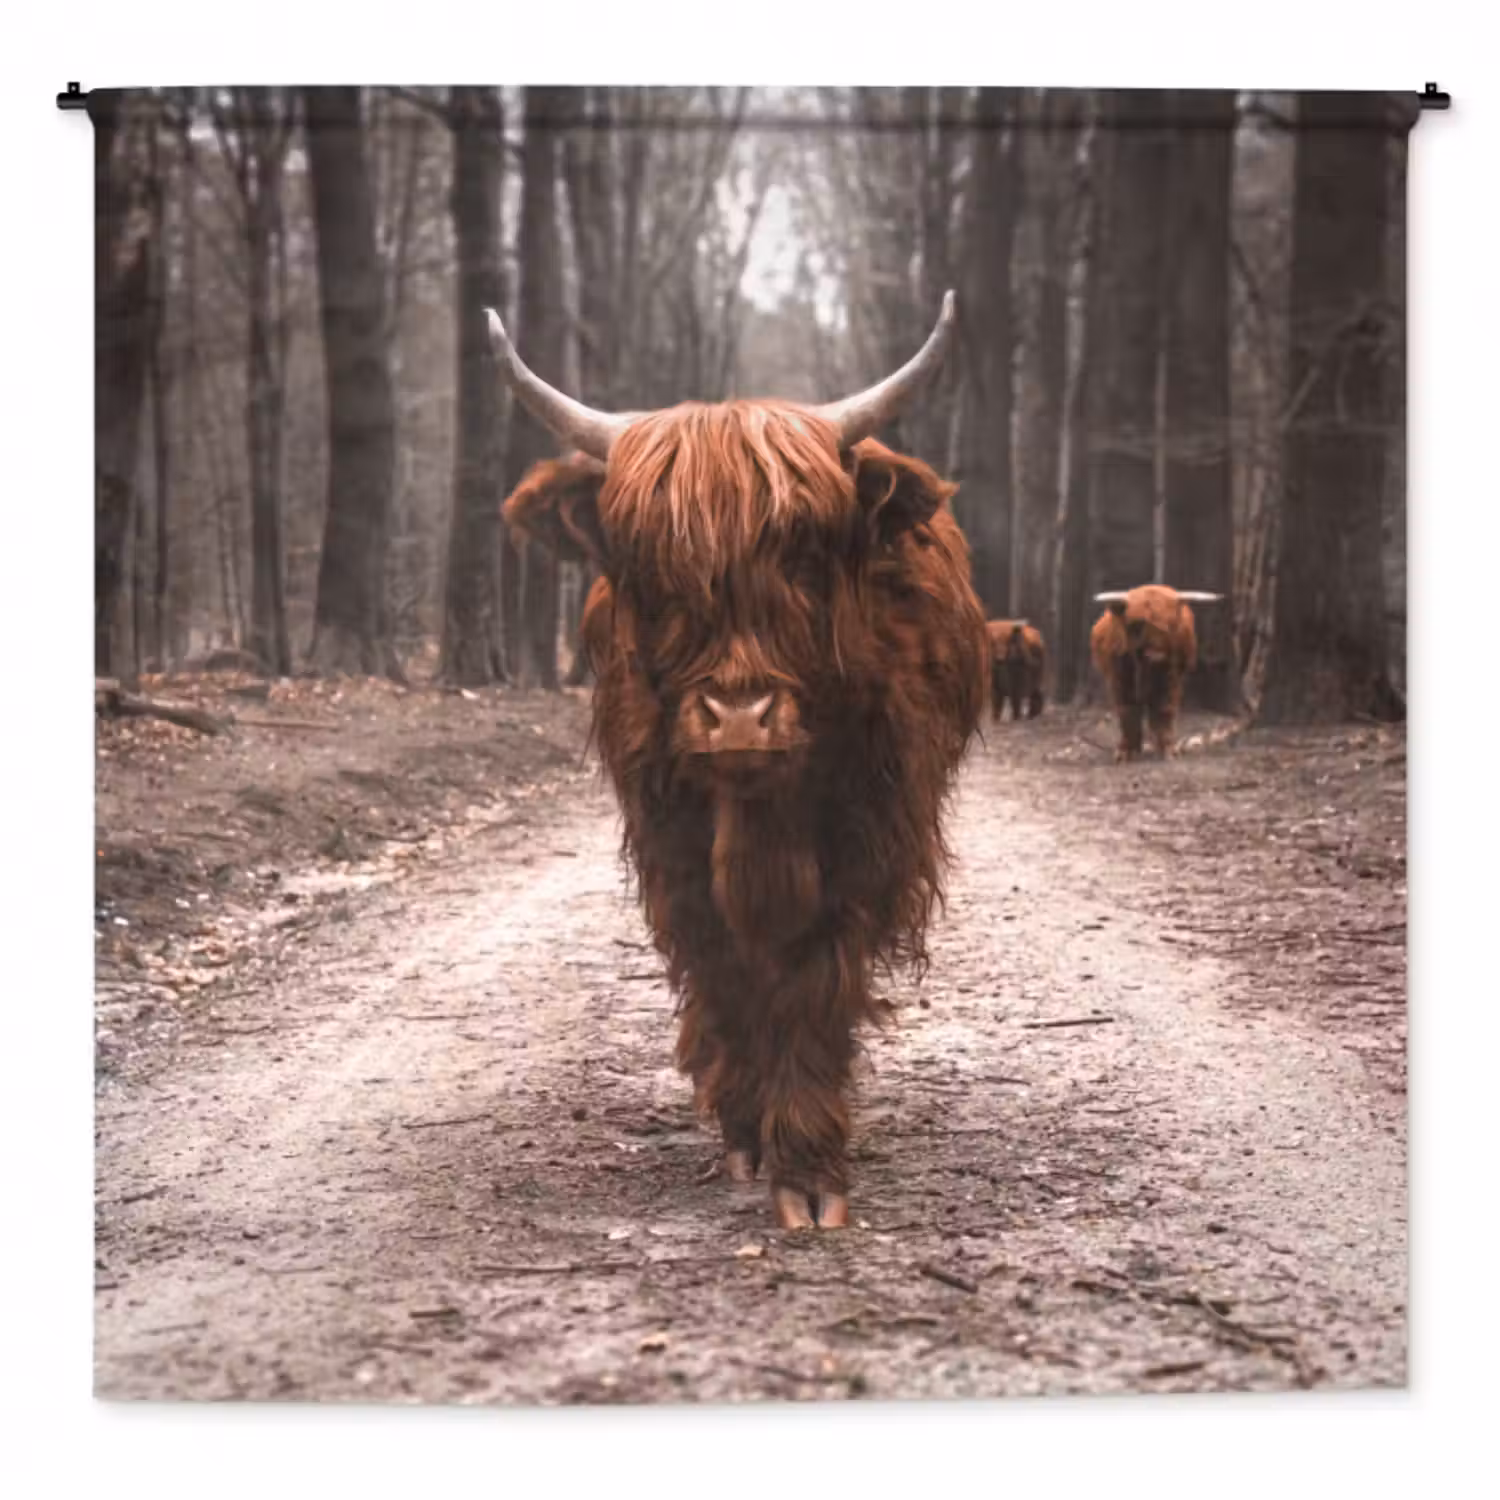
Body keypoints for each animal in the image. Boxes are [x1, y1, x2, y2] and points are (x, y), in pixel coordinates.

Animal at [491, 293, 987, 1230]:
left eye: (802, 553)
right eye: (652, 567)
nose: (739, 719)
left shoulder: (864, 842)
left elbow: (814, 979)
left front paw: (809, 1169)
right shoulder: (672, 846)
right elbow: (723, 970)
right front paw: (749, 1131)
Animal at [1089, 585, 1222, 761]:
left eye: (1171, 625)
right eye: (1137, 625)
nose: (1156, 656)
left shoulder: (1170, 678)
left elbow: (1164, 709)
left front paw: (1168, 750)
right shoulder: (1120, 678)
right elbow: (1127, 710)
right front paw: (1125, 752)